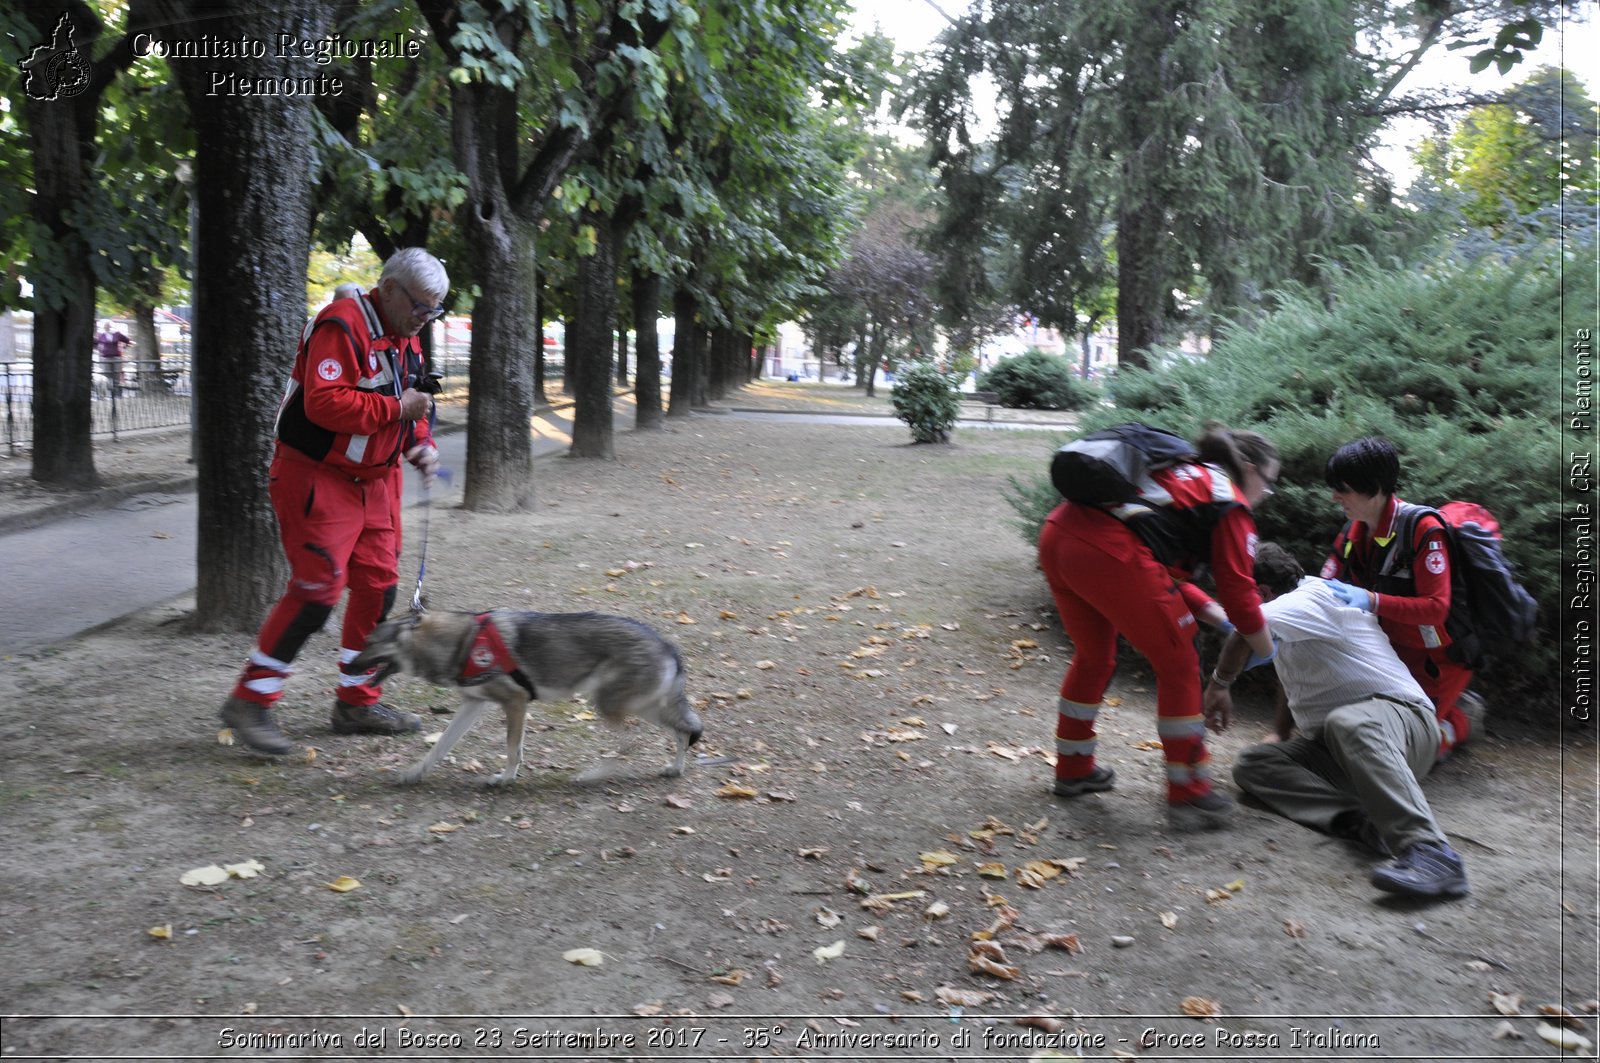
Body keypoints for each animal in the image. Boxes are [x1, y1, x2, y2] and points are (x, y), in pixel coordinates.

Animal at [353, 611, 704, 784]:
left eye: (370, 642)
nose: (346, 664)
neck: (460, 643)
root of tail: (666, 645)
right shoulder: (473, 705)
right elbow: (440, 746)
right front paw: (416, 774)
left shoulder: (515, 703)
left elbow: (512, 749)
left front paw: (505, 778)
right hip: (638, 706)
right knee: (682, 731)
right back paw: (674, 770)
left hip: (608, 705)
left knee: (635, 742)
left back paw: (591, 775)